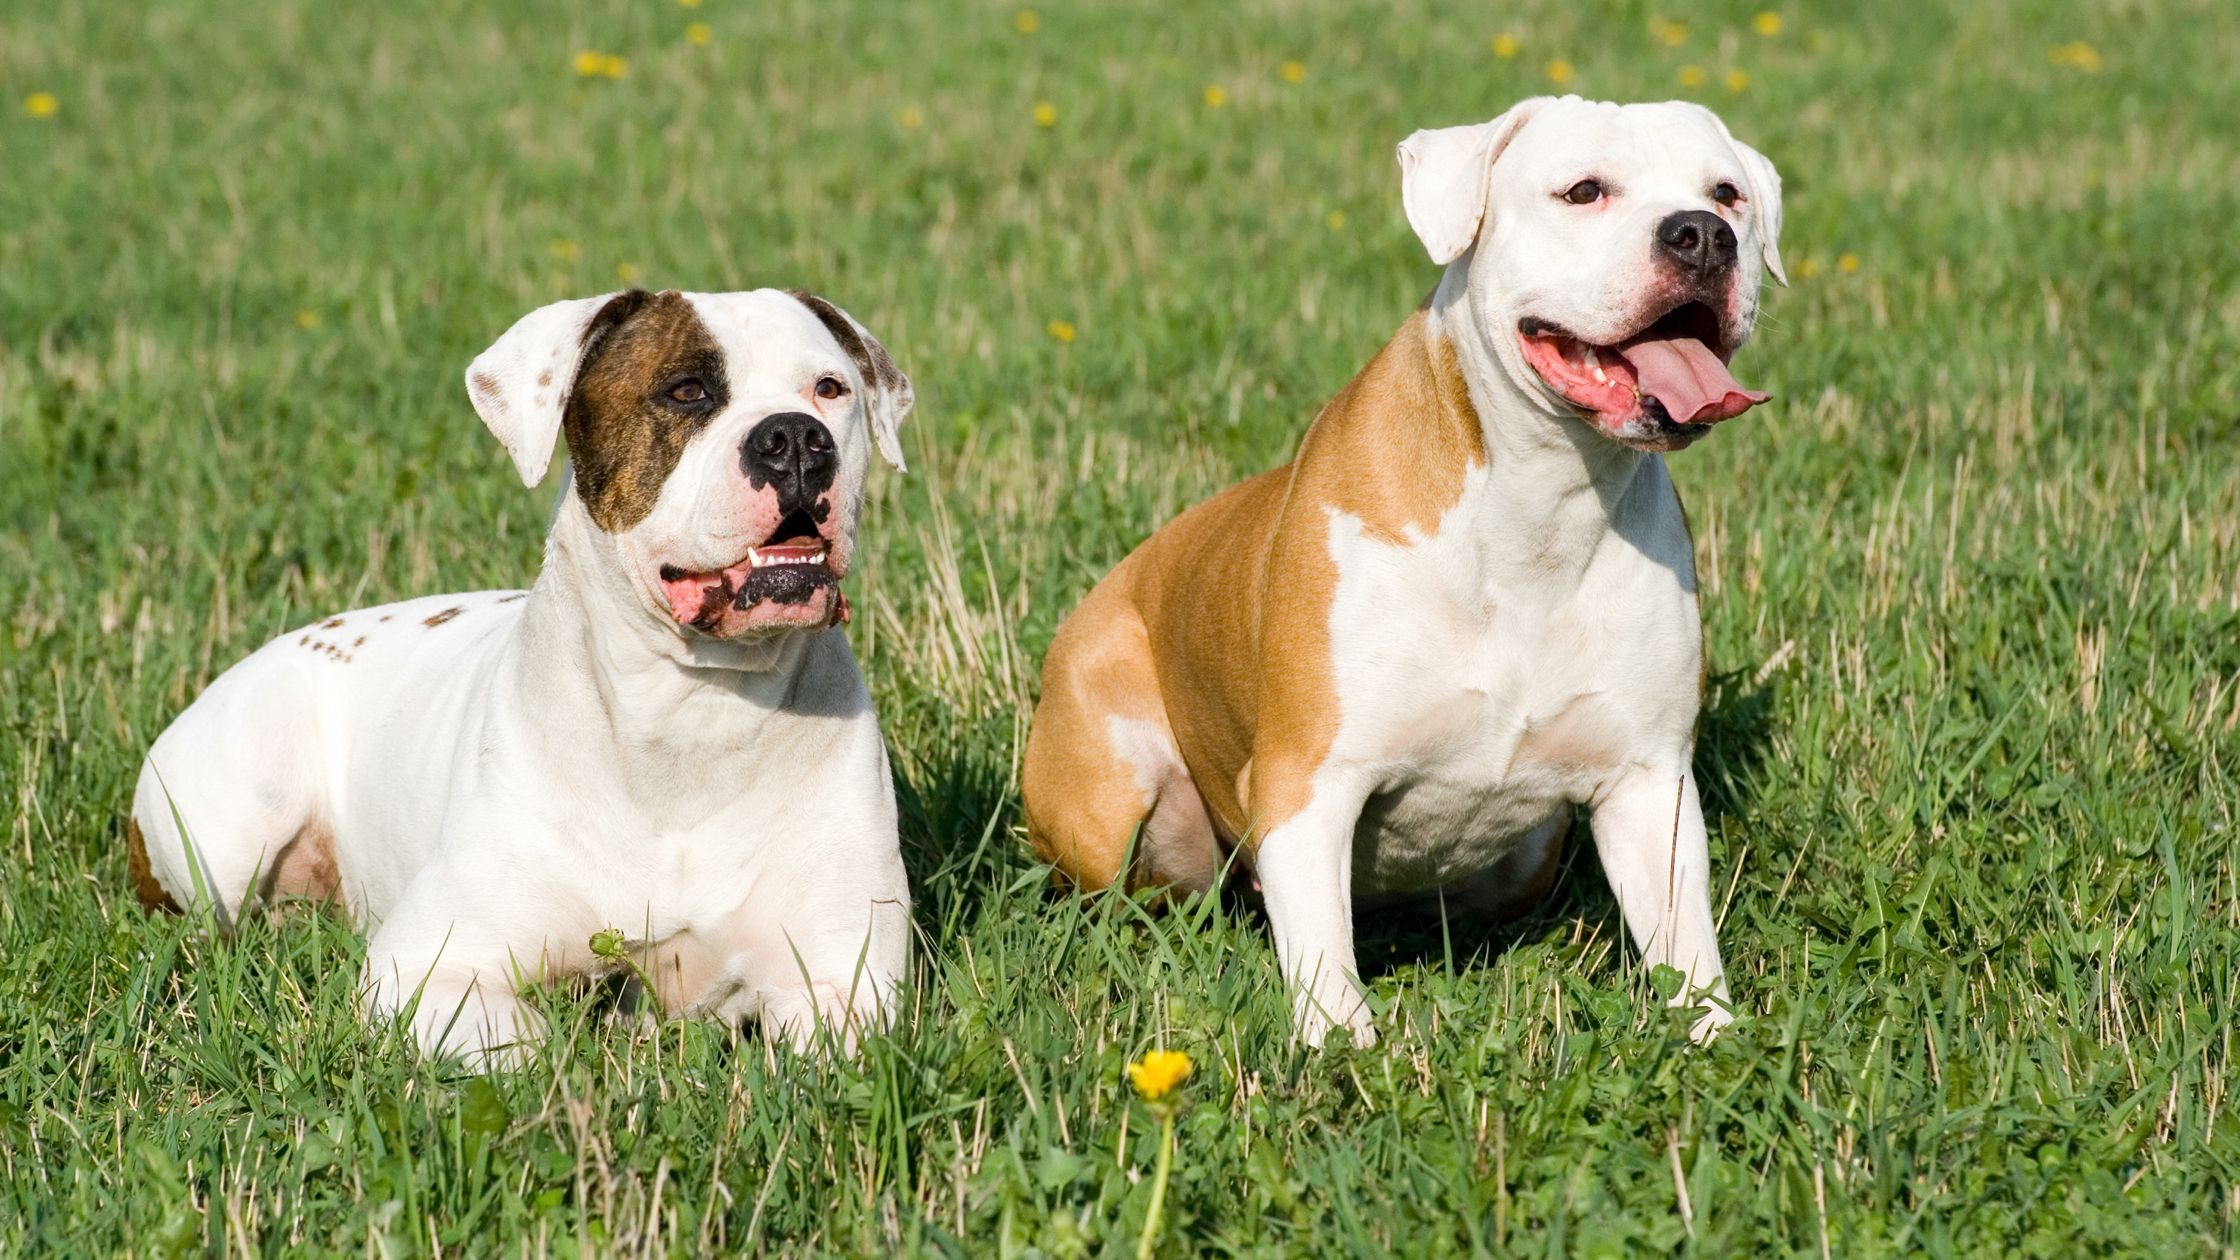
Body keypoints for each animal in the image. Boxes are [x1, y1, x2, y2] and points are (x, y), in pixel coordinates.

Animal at [128, 286, 918, 1058]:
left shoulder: (849, 987)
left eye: (830, 389)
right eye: (687, 390)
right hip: (232, 830)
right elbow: (532, 1040)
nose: (796, 440)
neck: (695, 711)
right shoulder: (422, 969)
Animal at [1025, 95, 1783, 1040]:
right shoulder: (1307, 784)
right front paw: (1342, 1053)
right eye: (1583, 191)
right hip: (1103, 803)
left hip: (1525, 863)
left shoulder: (1650, 783)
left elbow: (1685, 944)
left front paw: (1717, 1043)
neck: (1537, 507)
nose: (1702, 235)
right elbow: (1324, 966)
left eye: (1728, 194)